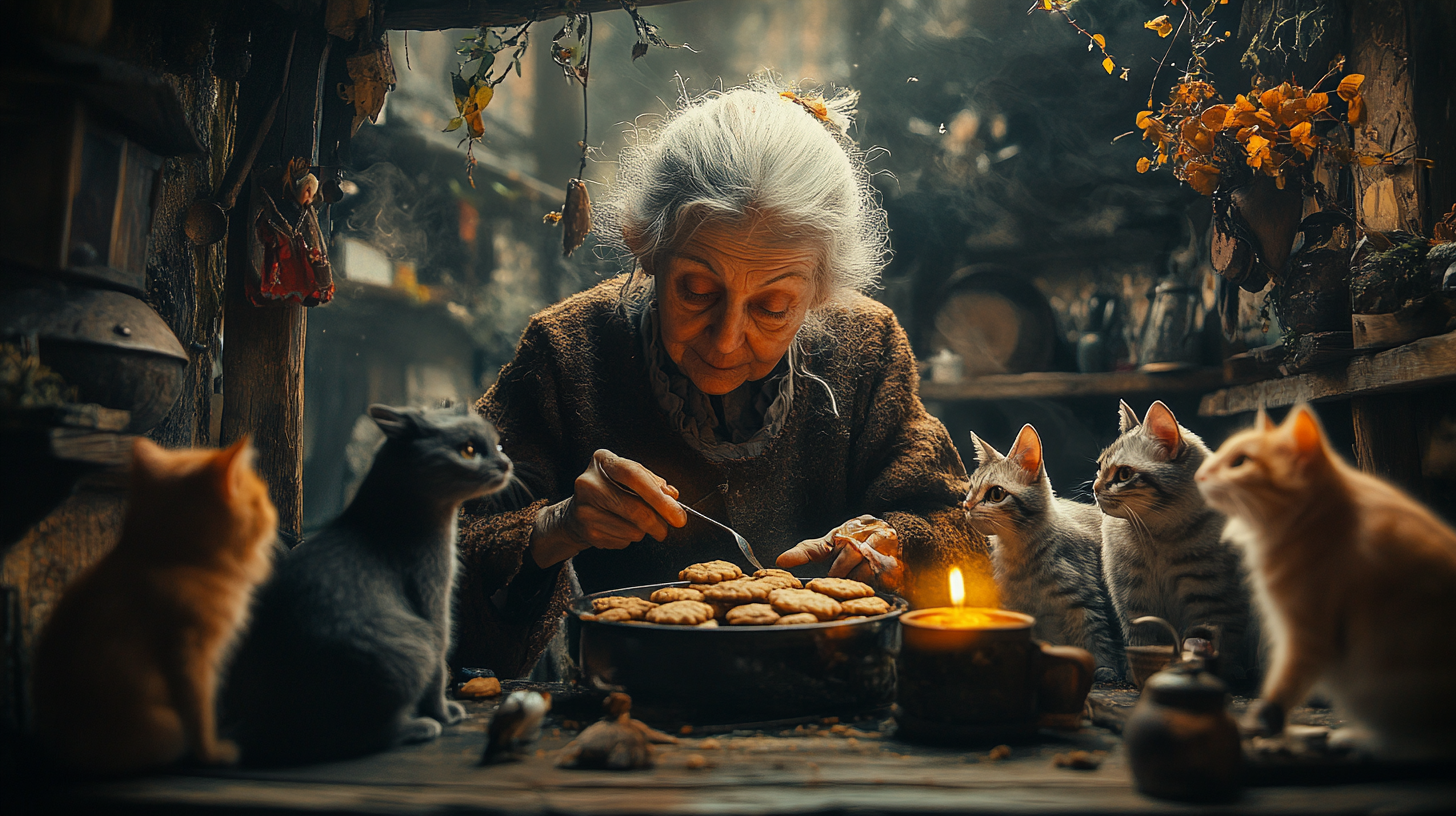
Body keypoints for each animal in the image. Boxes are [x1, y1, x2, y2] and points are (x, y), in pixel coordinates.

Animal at [32, 440, 278, 769]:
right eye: (261, 500)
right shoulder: (192, 654)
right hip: (167, 728)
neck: (170, 559)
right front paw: (213, 753)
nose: (274, 513)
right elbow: (201, 713)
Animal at [218, 405, 509, 763]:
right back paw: (420, 727)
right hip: (415, 645)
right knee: (360, 737)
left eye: (498, 445)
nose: (505, 462)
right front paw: (445, 713)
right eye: (469, 450)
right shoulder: (433, 596)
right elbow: (440, 670)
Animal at [966, 422, 1124, 679]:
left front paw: (1104, 668)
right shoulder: (1017, 608)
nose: (966, 506)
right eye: (970, 489)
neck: (1019, 555)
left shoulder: (1087, 602)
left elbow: (1097, 639)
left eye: (996, 494)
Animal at [1094, 399, 1257, 681]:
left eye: (1124, 474)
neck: (1157, 534)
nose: (1094, 488)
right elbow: (1143, 637)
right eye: (1099, 467)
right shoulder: (1134, 596)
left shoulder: (1211, 597)